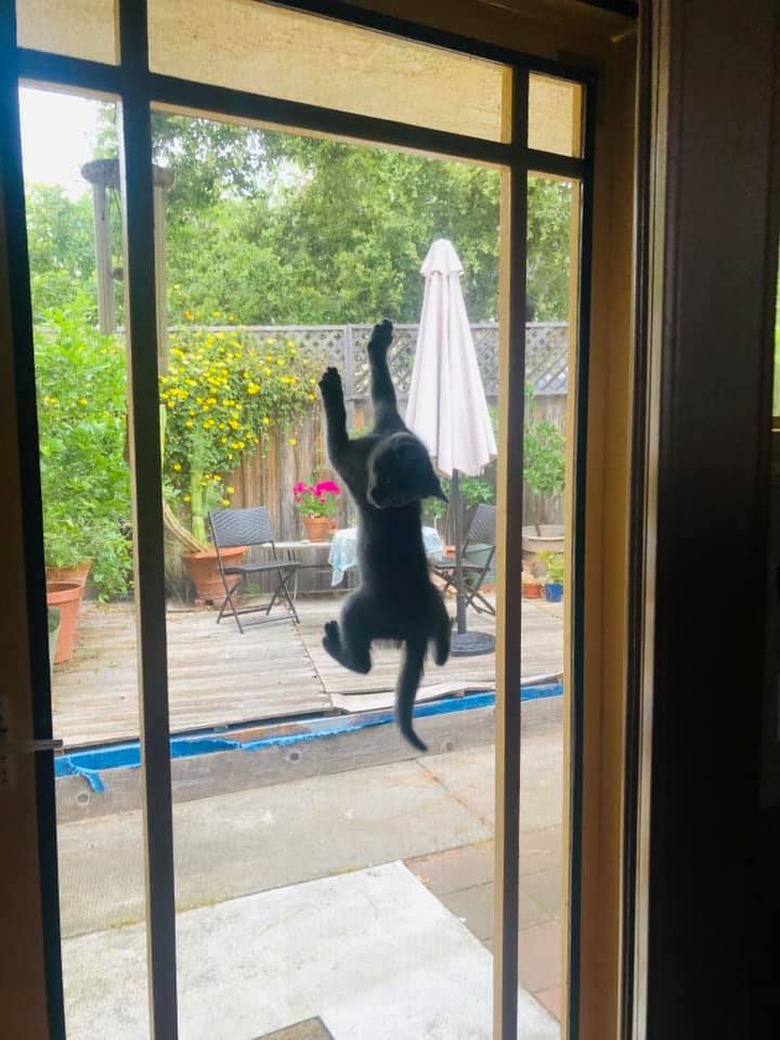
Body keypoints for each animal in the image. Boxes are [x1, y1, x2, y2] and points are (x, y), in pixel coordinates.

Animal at [318, 320, 451, 752]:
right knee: (442, 655)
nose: (376, 499)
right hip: (439, 611)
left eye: (399, 496)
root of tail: (414, 630)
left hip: (358, 608)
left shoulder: (345, 460)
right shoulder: (391, 422)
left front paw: (331, 389)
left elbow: (335, 431)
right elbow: (383, 392)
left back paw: (333, 642)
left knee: (362, 663)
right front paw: (378, 343)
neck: (374, 448)